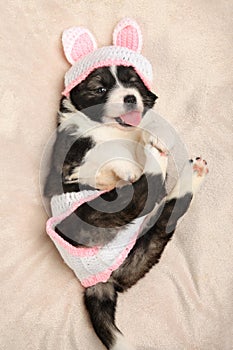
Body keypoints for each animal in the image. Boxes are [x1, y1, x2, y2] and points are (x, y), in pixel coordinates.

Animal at [44, 65, 208, 350]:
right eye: (99, 88)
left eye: (134, 84)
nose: (130, 97)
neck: (113, 129)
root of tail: (99, 282)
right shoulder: (70, 164)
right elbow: (101, 155)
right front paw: (128, 165)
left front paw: (152, 135)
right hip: (91, 218)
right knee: (141, 195)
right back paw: (156, 160)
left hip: (146, 248)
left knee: (165, 210)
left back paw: (189, 169)